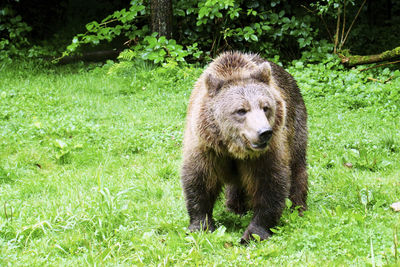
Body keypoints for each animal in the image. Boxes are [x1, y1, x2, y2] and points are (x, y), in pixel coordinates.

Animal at [180, 50, 308, 245]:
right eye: (241, 110)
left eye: (265, 107)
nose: (264, 132)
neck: (233, 148)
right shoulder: (206, 146)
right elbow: (199, 179)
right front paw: (200, 225)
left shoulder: (268, 152)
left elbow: (270, 183)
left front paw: (254, 233)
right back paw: (235, 207)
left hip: (295, 124)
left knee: (297, 166)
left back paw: (298, 206)